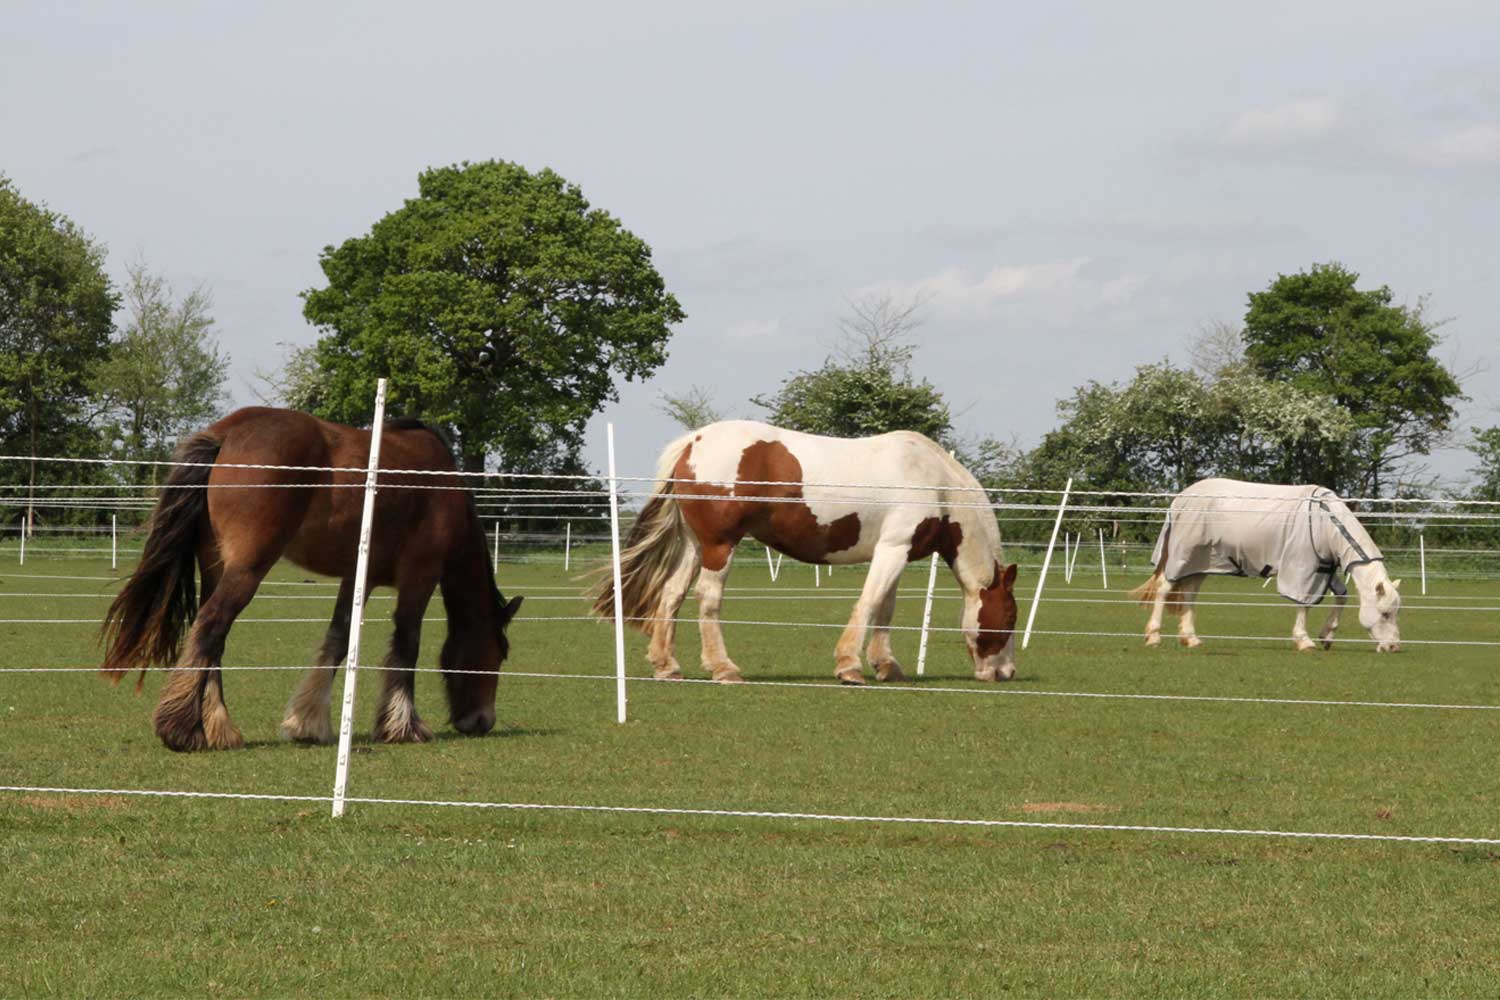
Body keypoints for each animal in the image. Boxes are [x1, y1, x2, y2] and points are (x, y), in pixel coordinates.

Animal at [100, 406, 524, 752]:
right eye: (499, 653)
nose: (482, 721)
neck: (442, 486)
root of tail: (227, 434)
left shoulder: (358, 576)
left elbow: (338, 639)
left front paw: (306, 722)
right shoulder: (420, 575)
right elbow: (407, 644)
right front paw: (404, 726)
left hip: (217, 566)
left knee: (211, 641)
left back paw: (218, 728)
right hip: (247, 569)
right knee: (211, 627)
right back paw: (184, 731)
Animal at [592, 420, 1019, 684]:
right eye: (1011, 616)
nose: (1007, 673)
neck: (934, 482)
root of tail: (692, 443)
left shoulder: (895, 553)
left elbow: (885, 609)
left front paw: (886, 665)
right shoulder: (892, 550)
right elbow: (869, 604)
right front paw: (849, 666)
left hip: (696, 546)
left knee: (672, 594)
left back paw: (667, 666)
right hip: (719, 545)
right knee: (707, 599)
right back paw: (724, 668)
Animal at [1131, 477, 1402, 652]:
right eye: (1385, 613)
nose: (1394, 646)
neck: (1325, 520)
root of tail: (1179, 499)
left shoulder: (1323, 567)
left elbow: (1342, 595)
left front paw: (1327, 635)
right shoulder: (1303, 567)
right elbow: (1304, 603)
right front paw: (1304, 641)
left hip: (1200, 562)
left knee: (1189, 594)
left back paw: (1191, 638)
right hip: (1183, 555)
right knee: (1165, 588)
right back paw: (1153, 637)